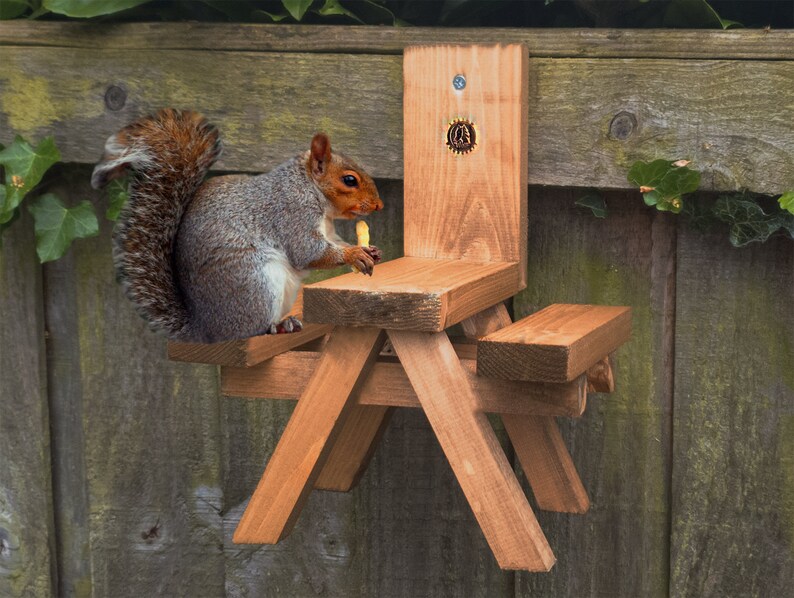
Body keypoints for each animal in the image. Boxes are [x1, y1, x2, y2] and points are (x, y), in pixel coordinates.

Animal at [91, 109, 383, 343]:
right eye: (349, 180)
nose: (378, 205)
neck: (308, 186)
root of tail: (206, 329)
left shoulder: (327, 228)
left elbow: (334, 242)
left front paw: (369, 251)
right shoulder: (292, 212)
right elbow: (307, 251)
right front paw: (355, 254)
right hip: (255, 284)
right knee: (251, 329)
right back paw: (276, 326)